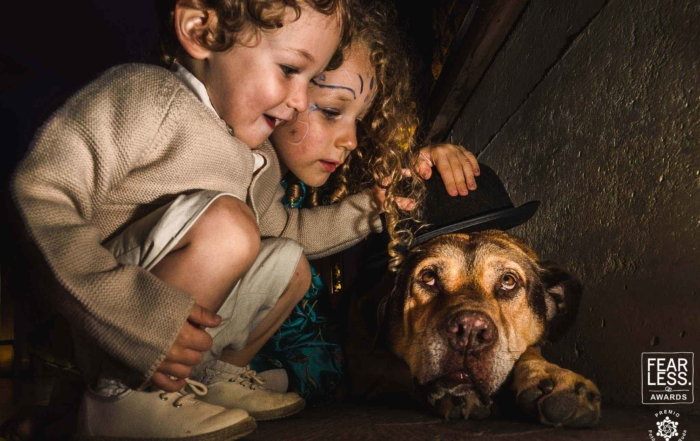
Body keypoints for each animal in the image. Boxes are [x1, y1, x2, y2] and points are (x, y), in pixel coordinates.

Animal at [344, 230, 600, 426]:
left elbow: (530, 350)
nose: (470, 331)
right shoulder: (361, 360)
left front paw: (552, 375)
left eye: (508, 281)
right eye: (428, 277)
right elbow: (399, 369)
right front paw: (456, 395)